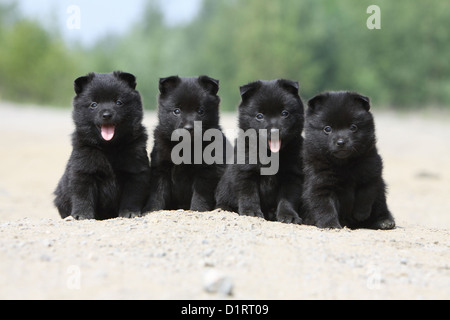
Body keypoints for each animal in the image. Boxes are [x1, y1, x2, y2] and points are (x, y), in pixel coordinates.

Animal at [53, 71, 150, 220]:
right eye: (94, 104)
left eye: (118, 102)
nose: (106, 114)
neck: (109, 147)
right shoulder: (83, 171)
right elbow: (83, 195)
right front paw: (82, 214)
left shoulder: (136, 171)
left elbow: (132, 195)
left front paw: (129, 212)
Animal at [144, 75, 229, 212]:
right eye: (177, 111)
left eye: (200, 111)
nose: (188, 128)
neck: (185, 147)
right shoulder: (161, 168)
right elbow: (157, 193)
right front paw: (152, 210)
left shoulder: (206, 172)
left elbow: (199, 195)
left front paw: (197, 210)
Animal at [215, 79, 306, 225]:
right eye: (259, 116)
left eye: (284, 113)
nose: (274, 131)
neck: (270, 154)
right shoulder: (246, 172)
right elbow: (249, 195)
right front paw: (251, 213)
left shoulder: (292, 176)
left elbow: (287, 199)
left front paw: (289, 216)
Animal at [302, 91, 394, 229]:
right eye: (327, 129)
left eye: (353, 127)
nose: (341, 142)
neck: (344, 165)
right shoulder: (320, 183)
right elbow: (325, 206)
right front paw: (331, 225)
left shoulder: (371, 170)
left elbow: (366, 193)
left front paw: (361, 214)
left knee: (380, 205)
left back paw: (384, 221)